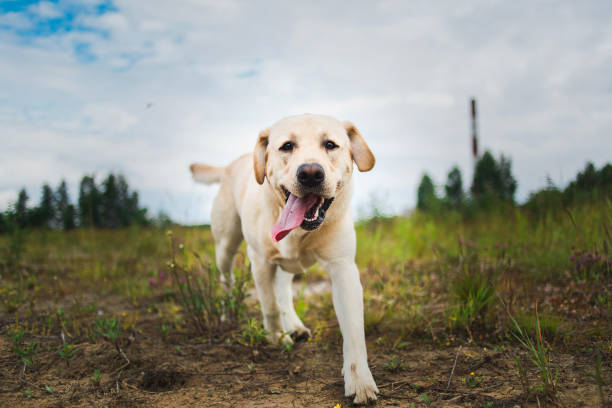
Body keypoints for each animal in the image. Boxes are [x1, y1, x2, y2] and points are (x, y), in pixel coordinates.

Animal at [190, 113, 378, 404]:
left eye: (330, 144)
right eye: (287, 146)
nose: (310, 173)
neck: (300, 231)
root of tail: (231, 164)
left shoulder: (343, 268)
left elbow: (354, 331)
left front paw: (360, 382)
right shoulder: (260, 261)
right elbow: (269, 306)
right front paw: (277, 337)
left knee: (283, 290)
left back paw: (296, 326)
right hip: (225, 245)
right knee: (227, 279)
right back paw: (227, 314)